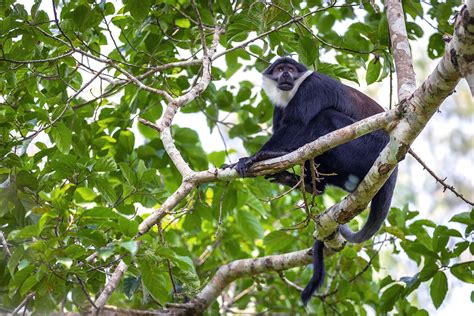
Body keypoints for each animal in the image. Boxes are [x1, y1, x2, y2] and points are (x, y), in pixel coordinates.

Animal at [228, 57, 398, 306]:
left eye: (290, 69)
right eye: (279, 70)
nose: (285, 75)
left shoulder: (312, 87)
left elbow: (297, 125)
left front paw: (255, 157)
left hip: (367, 148)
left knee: (325, 117)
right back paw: (307, 184)